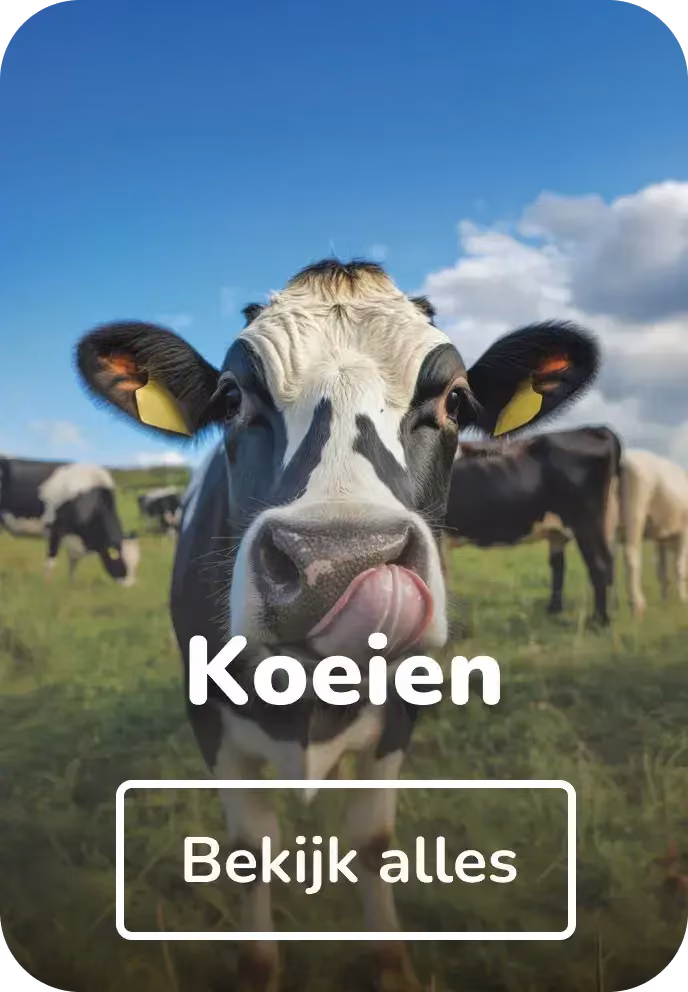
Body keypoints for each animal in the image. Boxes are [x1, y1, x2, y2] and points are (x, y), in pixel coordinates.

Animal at [0, 457, 140, 585]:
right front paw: (47, 584)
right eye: (121, 562)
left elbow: (74, 562)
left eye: (136, 563)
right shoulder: (55, 529)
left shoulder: (75, 537)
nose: (129, 585)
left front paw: (71, 584)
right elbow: (51, 560)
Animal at [75, 257, 599, 991]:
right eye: (231, 398)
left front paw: (391, 962)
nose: (337, 563)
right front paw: (259, 967)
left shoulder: (403, 710)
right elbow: (247, 849)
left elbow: (373, 841)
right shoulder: (207, 717)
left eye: (456, 402)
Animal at [443, 426, 622, 625]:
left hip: (586, 522)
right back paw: (554, 610)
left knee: (599, 565)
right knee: (562, 565)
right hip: (568, 527)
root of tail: (594, 429)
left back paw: (599, 621)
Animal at [614, 448, 688, 617]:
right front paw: (683, 601)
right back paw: (637, 604)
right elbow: (679, 567)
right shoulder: (684, 532)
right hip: (635, 513)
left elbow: (662, 572)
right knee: (631, 555)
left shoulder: (661, 538)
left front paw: (664, 601)